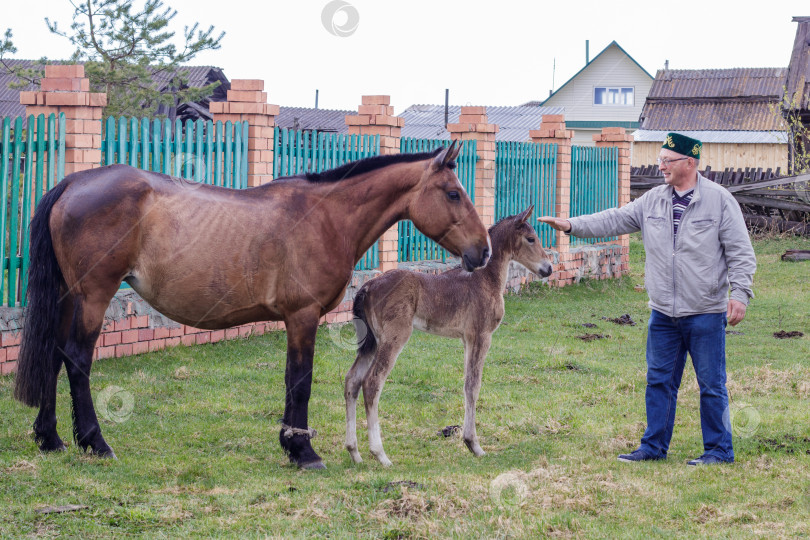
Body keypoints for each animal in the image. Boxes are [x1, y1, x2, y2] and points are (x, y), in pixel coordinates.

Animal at [14, 142, 492, 468]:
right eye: (452, 193)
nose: (483, 250)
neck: (326, 217)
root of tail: (73, 183)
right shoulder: (302, 317)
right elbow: (299, 381)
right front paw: (302, 450)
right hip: (94, 295)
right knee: (77, 361)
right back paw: (95, 443)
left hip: (68, 297)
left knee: (53, 356)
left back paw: (50, 438)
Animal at [344, 205, 552, 466]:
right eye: (531, 238)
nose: (549, 268)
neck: (484, 278)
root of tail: (367, 287)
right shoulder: (481, 335)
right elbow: (474, 385)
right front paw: (474, 445)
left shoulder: (466, 339)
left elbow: (466, 384)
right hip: (393, 338)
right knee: (372, 382)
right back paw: (380, 454)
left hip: (371, 342)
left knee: (352, 381)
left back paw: (354, 452)